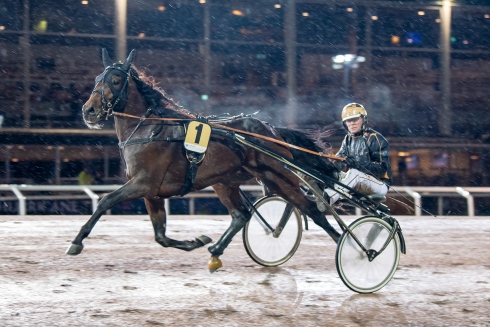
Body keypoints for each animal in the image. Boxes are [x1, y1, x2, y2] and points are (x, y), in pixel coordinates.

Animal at [66, 48, 340, 272]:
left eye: (115, 80)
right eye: (96, 79)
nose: (89, 111)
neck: (148, 129)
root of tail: (272, 131)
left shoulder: (144, 183)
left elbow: (105, 201)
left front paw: (77, 241)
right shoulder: (152, 192)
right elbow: (161, 236)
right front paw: (196, 241)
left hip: (278, 177)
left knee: (312, 210)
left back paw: (346, 246)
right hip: (225, 182)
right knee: (241, 215)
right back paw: (215, 251)